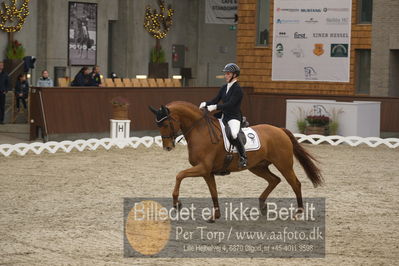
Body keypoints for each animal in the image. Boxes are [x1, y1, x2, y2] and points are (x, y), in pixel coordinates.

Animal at [148, 101, 324, 221]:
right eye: (157, 124)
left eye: (165, 123)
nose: (167, 147)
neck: (200, 131)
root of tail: (280, 130)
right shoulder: (207, 172)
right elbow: (213, 192)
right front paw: (215, 215)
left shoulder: (203, 168)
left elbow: (179, 175)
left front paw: (177, 203)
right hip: (257, 167)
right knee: (274, 180)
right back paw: (262, 205)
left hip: (284, 164)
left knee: (295, 183)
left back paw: (298, 212)